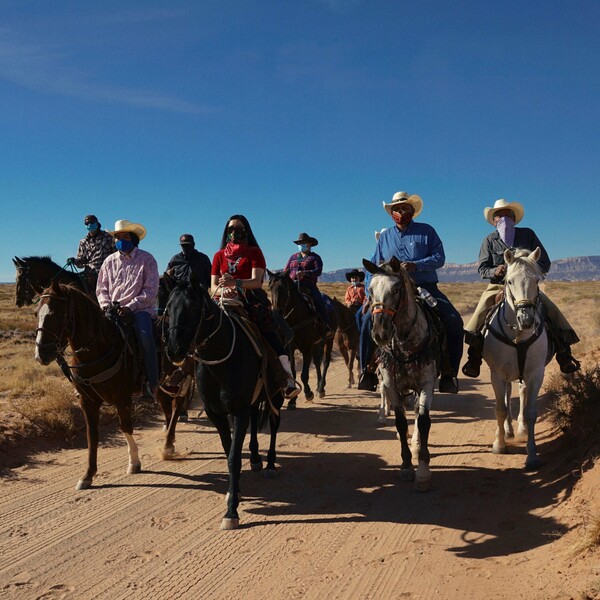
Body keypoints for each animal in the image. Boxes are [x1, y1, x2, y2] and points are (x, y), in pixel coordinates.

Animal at [164, 276, 286, 528]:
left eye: (192, 307)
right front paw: (234, 492)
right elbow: (228, 449)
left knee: (274, 424)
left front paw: (232, 511)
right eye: (168, 307)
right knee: (255, 421)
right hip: (253, 401)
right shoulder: (216, 413)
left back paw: (270, 464)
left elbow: (233, 458)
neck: (218, 362)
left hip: (275, 396)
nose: (174, 350)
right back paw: (256, 458)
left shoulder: (238, 411)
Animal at [268, 270, 338, 404]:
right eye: (270, 288)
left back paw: (321, 388)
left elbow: (304, 375)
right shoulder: (291, 347)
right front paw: (292, 400)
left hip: (329, 340)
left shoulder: (306, 348)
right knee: (317, 362)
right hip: (317, 344)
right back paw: (319, 386)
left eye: (283, 287)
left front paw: (308, 393)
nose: (276, 312)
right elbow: (293, 371)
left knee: (325, 362)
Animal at [360, 255, 440, 490]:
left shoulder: (426, 383)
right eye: (370, 290)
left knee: (417, 413)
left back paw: (416, 444)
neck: (405, 343)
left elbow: (423, 421)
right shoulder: (390, 384)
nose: (380, 333)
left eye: (396, 289)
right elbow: (401, 421)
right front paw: (406, 466)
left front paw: (422, 470)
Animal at [486, 247, 552, 468]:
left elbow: (531, 412)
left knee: (521, 393)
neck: (518, 335)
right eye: (509, 281)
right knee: (507, 397)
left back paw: (520, 428)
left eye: (537, 280)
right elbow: (500, 409)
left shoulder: (536, 374)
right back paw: (507, 431)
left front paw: (532, 455)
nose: (526, 320)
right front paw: (499, 445)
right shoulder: (497, 374)